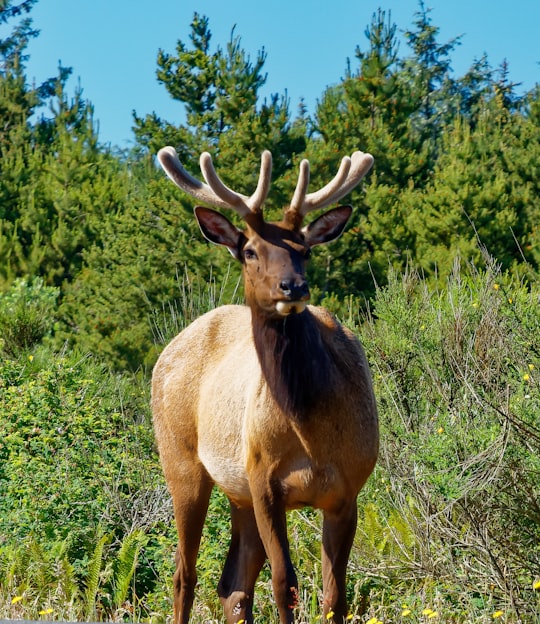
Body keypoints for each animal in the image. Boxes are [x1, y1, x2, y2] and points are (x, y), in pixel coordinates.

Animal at [151, 147, 380, 624]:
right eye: (251, 251)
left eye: (304, 250)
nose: (293, 286)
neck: (310, 429)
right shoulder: (265, 482)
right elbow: (284, 584)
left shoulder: (348, 489)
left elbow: (335, 595)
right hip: (182, 461)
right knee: (184, 575)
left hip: (238, 494)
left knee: (232, 585)